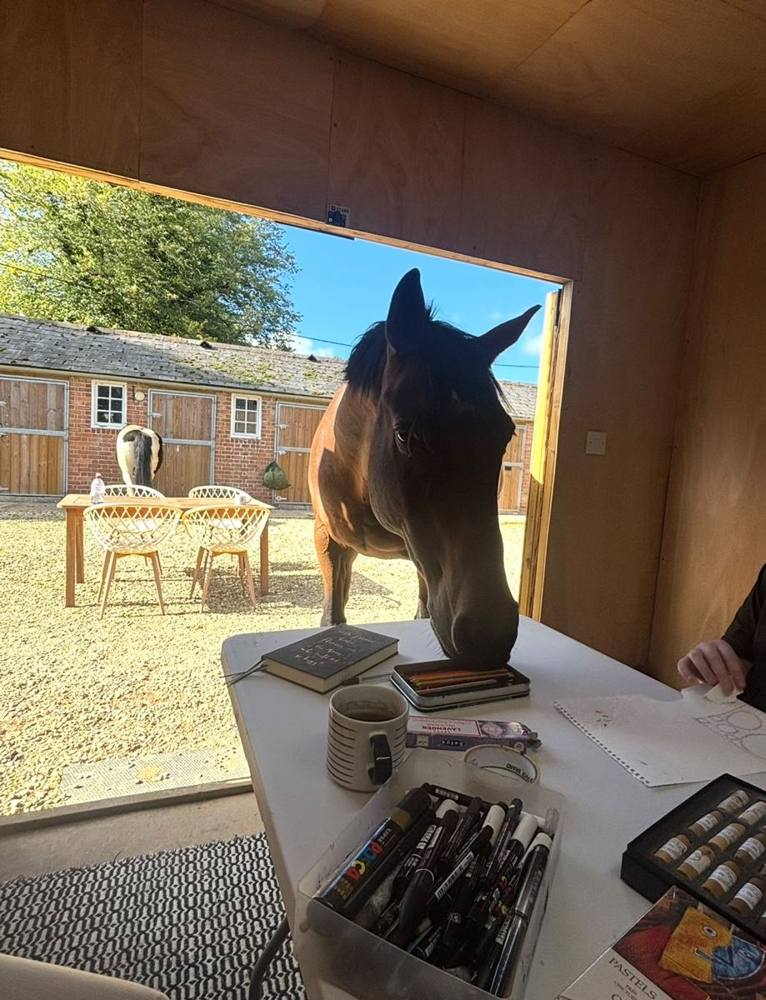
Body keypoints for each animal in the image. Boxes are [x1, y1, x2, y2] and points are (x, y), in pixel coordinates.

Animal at [308, 269, 539, 666]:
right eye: (405, 434)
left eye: (505, 434)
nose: (488, 632)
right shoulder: (328, 542)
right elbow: (333, 617)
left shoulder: (423, 564)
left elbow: (423, 611)